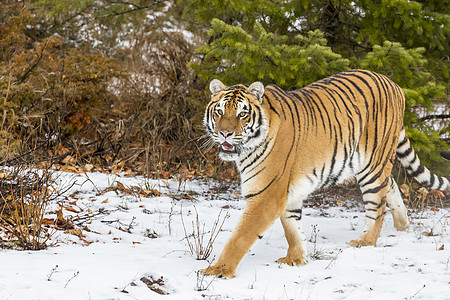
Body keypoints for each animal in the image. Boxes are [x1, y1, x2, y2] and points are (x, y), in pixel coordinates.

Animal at [201, 69, 450, 278]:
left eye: (242, 114)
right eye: (219, 111)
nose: (224, 133)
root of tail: (394, 84)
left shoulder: (267, 195)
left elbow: (240, 237)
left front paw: (218, 270)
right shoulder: (287, 192)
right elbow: (292, 227)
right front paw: (295, 258)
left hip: (372, 165)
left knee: (377, 207)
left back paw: (365, 242)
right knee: (392, 186)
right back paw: (402, 227)